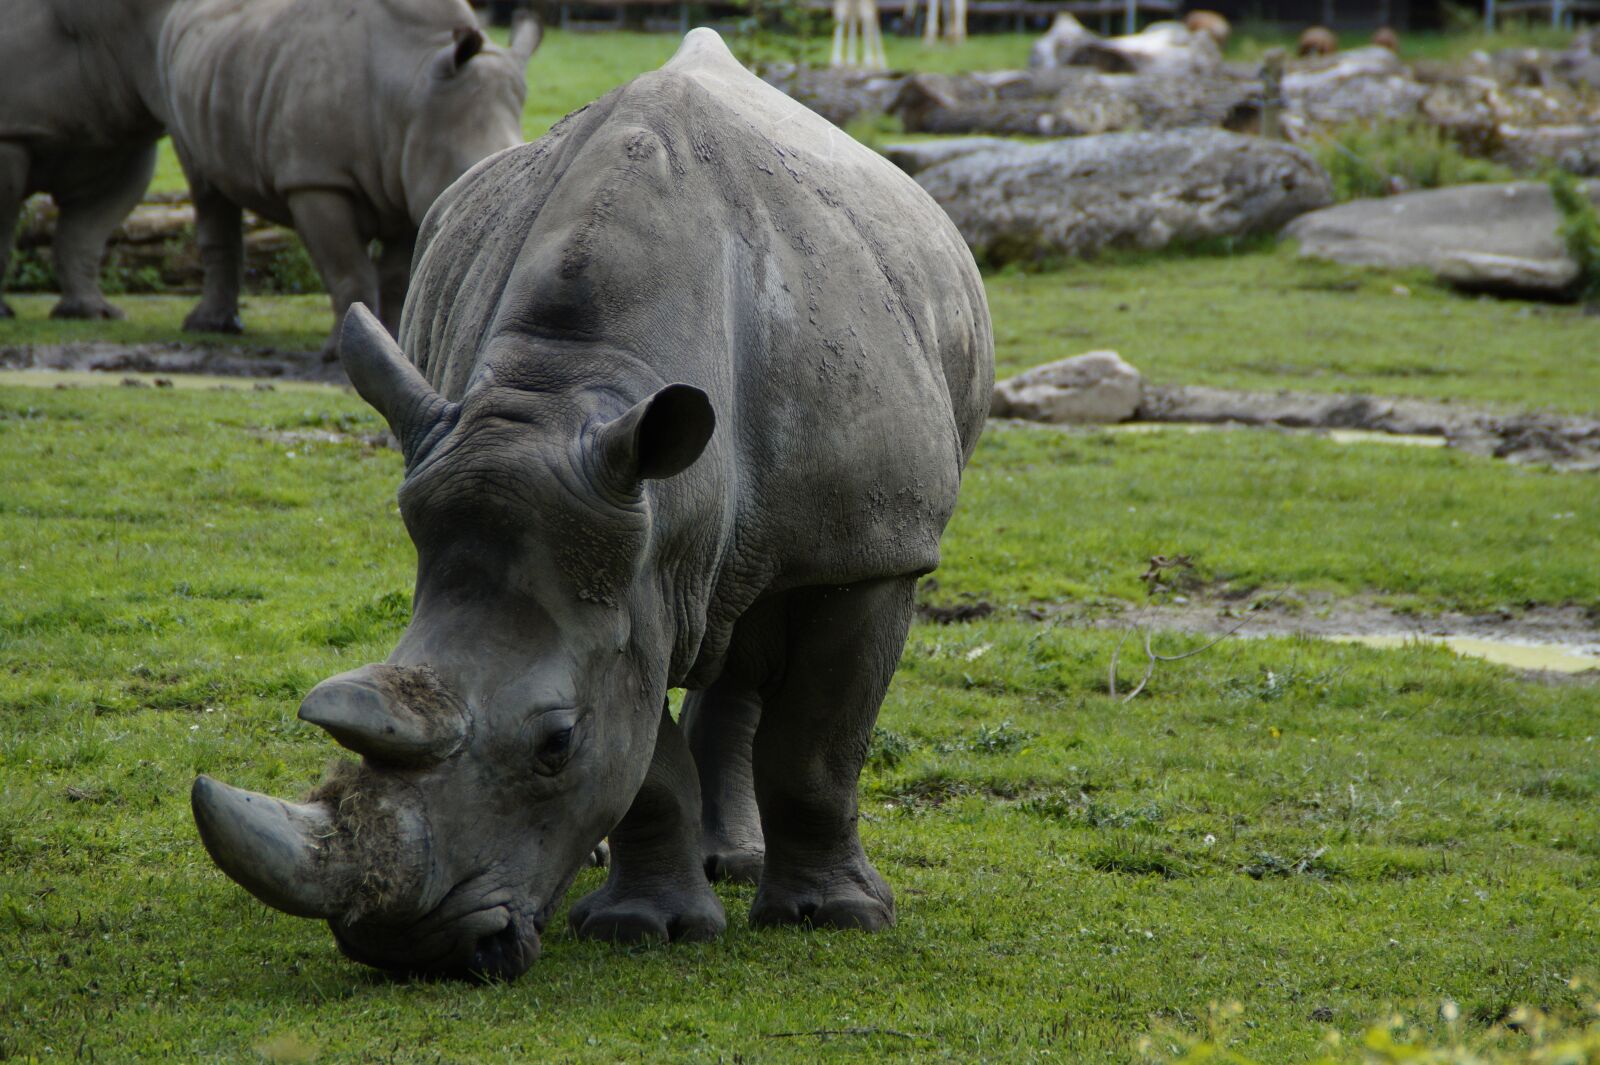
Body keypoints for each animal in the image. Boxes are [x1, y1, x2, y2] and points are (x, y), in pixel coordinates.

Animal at [158, 0, 541, 347]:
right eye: (466, 176)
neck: (412, 90)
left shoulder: (409, 183)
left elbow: (397, 277)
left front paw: (391, 341)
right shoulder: (316, 178)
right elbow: (347, 269)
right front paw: (339, 350)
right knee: (205, 186)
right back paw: (208, 327)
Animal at [191, 29, 993, 981]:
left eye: (555, 745)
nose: (416, 951)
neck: (573, 388)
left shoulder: (873, 546)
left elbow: (817, 748)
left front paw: (834, 918)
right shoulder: (624, 573)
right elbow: (646, 757)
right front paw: (646, 927)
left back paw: (741, 865)